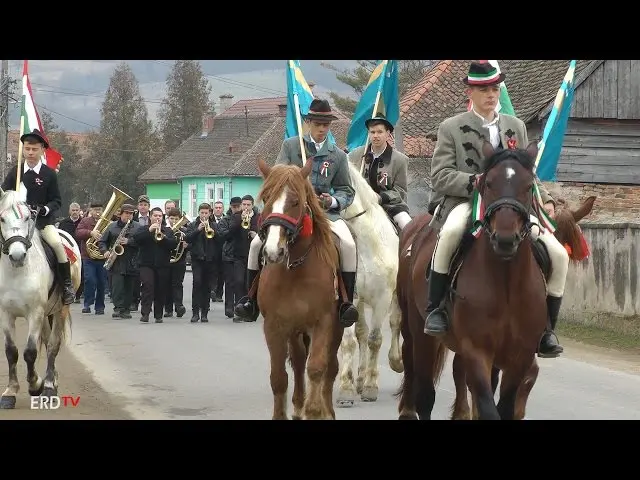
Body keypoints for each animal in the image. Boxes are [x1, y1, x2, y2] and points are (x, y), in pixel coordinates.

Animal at [0, 184, 81, 408]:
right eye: (2, 219)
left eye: (28, 216)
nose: (17, 255)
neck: (17, 271)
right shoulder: (6, 313)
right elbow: (11, 351)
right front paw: (10, 392)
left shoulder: (34, 313)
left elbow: (29, 351)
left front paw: (35, 385)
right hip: (46, 313)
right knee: (45, 339)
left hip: (60, 310)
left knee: (52, 345)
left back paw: (50, 386)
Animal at [256, 158, 344, 420]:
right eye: (266, 198)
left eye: (295, 202)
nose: (273, 251)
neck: (295, 268)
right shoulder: (274, 326)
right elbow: (278, 377)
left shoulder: (323, 322)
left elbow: (316, 368)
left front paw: (315, 411)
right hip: (295, 330)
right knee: (297, 361)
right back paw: (297, 405)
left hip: (336, 329)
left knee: (329, 367)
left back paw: (326, 410)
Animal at [338, 159, 402, 406]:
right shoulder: (351, 297)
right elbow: (351, 341)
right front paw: (346, 389)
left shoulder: (384, 297)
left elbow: (376, 339)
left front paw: (371, 387)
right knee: (362, 333)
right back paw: (359, 377)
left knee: (395, 323)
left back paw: (396, 362)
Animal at [398, 142, 592, 420]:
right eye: (488, 183)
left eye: (528, 186)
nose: (505, 239)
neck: (506, 283)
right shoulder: (477, 351)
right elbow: (487, 406)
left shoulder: (519, 356)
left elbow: (506, 406)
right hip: (418, 330)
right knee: (421, 386)